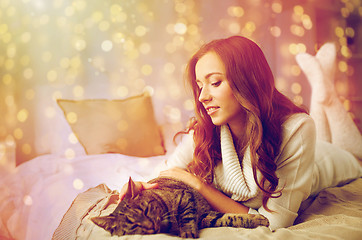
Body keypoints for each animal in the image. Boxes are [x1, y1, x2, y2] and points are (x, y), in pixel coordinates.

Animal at [92, 176, 270, 238]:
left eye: (146, 210)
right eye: (133, 225)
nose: (150, 226)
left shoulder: (185, 196)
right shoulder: (205, 217)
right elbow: (227, 218)